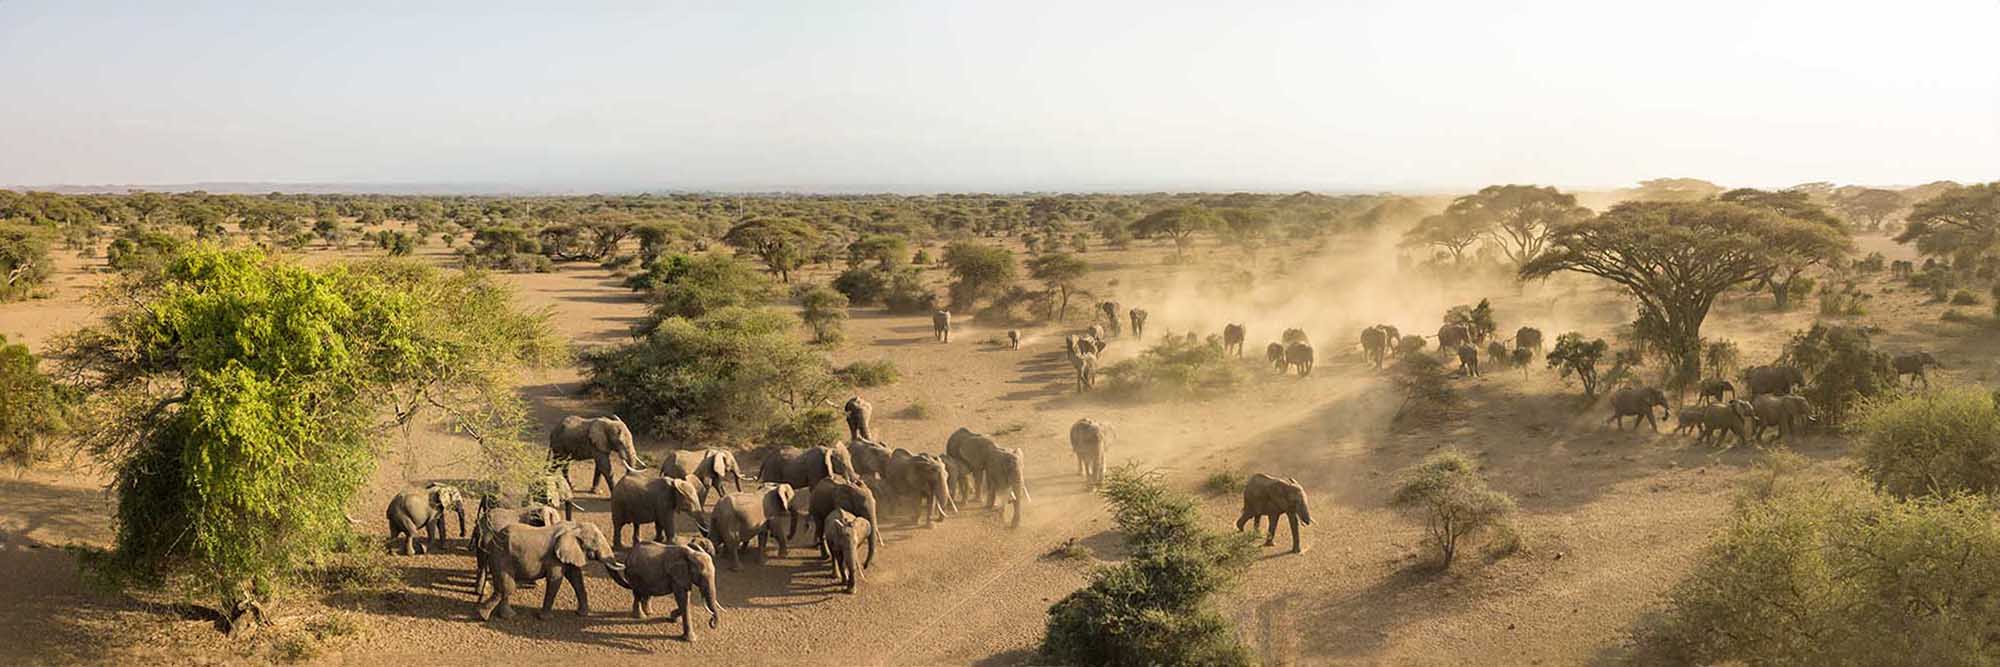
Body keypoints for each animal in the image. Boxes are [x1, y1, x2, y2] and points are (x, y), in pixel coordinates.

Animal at [474, 519, 616, 619]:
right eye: (596, 543)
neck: (574, 527)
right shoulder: (554, 558)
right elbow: (554, 580)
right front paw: (544, 618)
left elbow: (576, 579)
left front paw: (582, 614)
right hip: (501, 557)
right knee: (508, 587)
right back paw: (482, 615)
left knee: (505, 587)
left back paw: (506, 616)